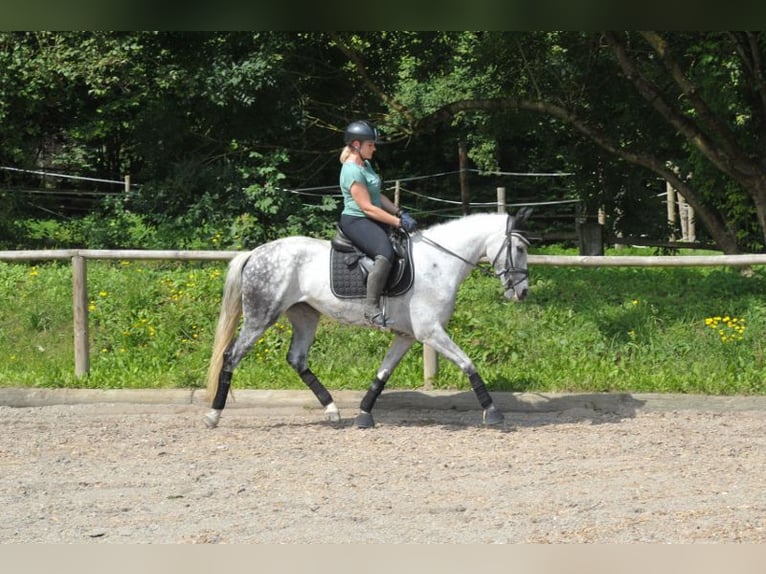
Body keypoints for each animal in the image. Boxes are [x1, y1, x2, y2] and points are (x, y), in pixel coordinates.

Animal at [204, 209, 536, 430]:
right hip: (261, 316)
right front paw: (493, 411)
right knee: (231, 356)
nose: (522, 292)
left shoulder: (407, 335)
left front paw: (364, 413)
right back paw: (213, 415)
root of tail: (254, 253)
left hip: (305, 315)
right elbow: (468, 363)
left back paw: (333, 411)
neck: (439, 262)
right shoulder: (430, 332)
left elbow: (383, 373)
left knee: (296, 359)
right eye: (520, 248)